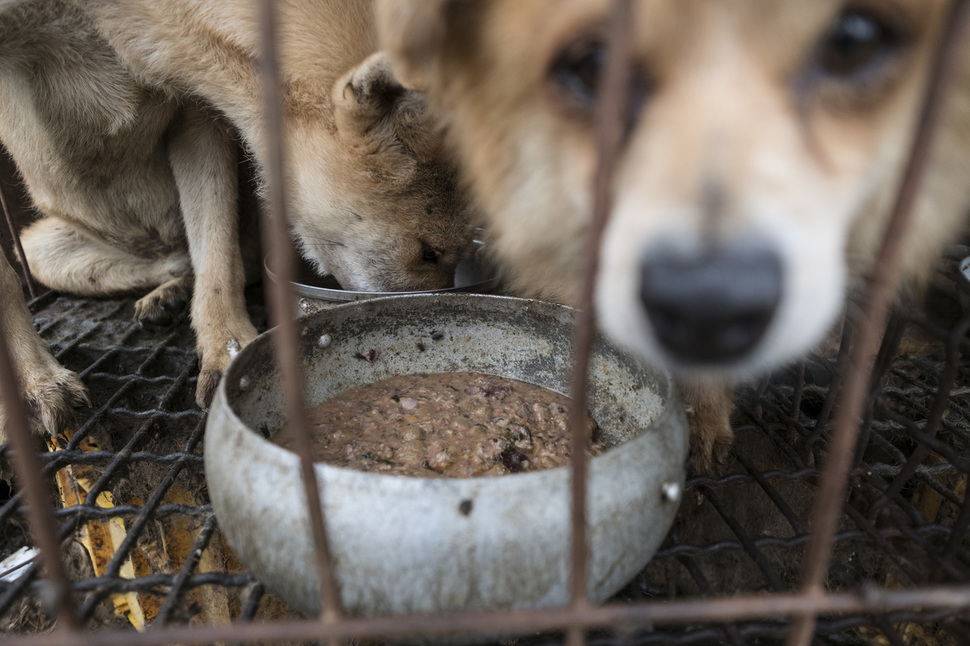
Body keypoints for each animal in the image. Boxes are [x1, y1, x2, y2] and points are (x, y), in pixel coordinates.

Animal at [0, 0, 468, 426]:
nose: (439, 311)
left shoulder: (198, 106)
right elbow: (7, 284)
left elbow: (218, 258)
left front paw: (227, 353)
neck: (111, 18)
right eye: (429, 253)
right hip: (38, 250)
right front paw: (31, 385)